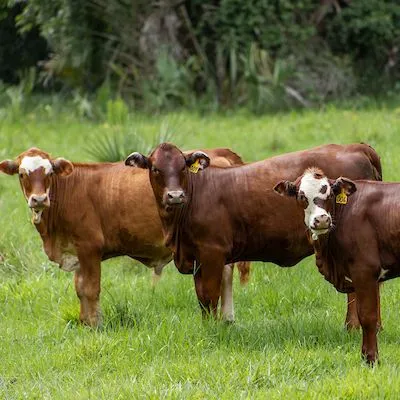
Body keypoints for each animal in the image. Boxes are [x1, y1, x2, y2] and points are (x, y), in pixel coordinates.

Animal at [0, 148, 248, 326]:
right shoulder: (77, 252)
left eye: (49, 173)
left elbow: (90, 289)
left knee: (224, 275)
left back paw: (226, 318)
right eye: (22, 174)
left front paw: (95, 325)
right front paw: (84, 322)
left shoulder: (90, 248)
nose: (39, 199)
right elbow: (80, 289)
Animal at [125, 142, 382, 330]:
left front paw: (211, 329)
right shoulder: (197, 257)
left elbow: (210, 295)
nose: (175, 195)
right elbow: (201, 297)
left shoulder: (212, 253)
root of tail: (356, 146)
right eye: (155, 168)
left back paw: (353, 326)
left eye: (182, 167)